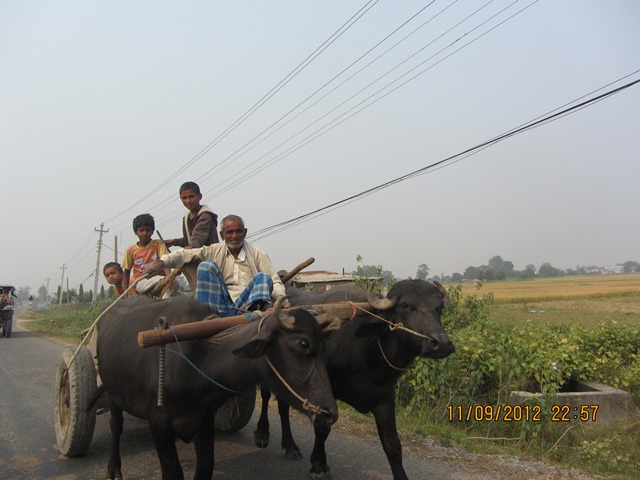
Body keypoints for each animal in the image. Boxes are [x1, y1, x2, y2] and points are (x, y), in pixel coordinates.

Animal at [97, 296, 338, 480]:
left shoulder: (203, 419)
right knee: (115, 427)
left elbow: (205, 467)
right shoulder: (159, 424)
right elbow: (173, 472)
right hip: (112, 394)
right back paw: (113, 469)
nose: (330, 413)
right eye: (304, 344)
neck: (201, 356)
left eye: (324, 345)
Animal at [255, 280, 456, 480]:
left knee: (283, 406)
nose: (441, 343)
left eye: (439, 308)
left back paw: (290, 446)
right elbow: (323, 428)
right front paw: (319, 465)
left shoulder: (384, 398)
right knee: (266, 396)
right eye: (405, 305)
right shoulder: (323, 393)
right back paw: (263, 433)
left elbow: (393, 445)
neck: (369, 353)